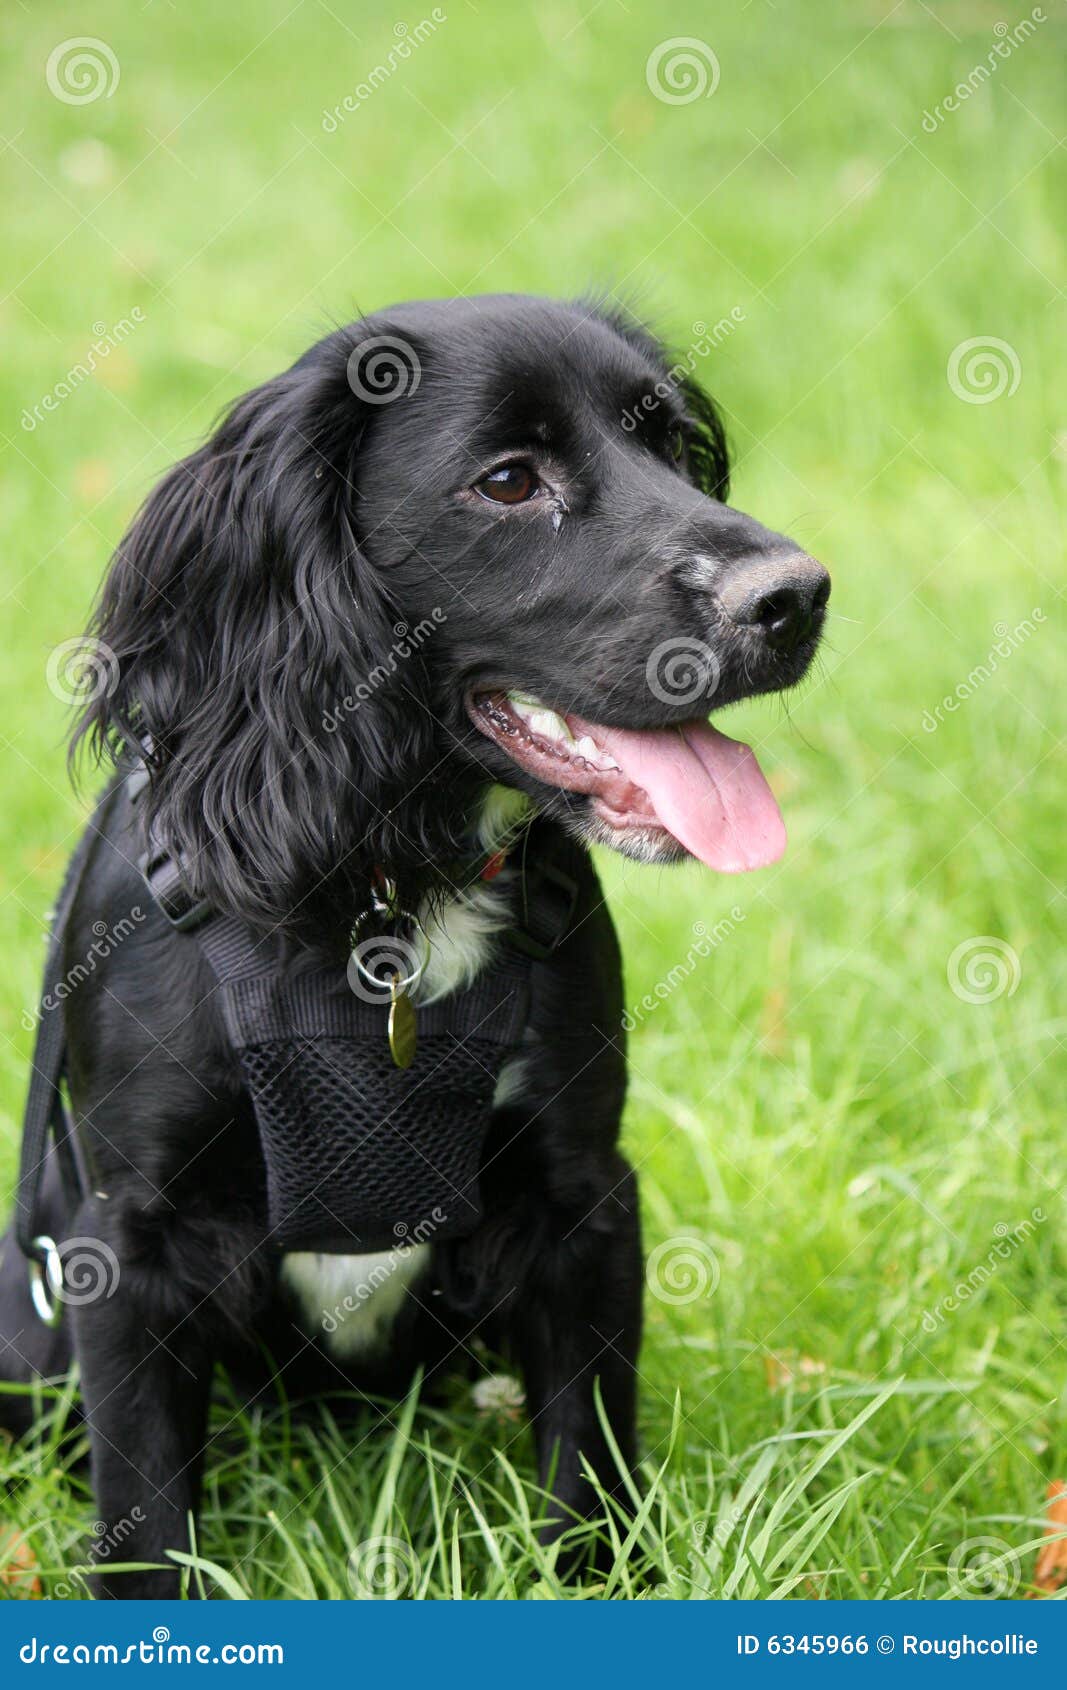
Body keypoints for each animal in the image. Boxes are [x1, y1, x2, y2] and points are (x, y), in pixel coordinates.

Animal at [0, 294, 831, 1595]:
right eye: (506, 481)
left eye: (666, 442)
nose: (795, 595)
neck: (389, 893)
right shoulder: (121, 1243)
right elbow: (143, 1510)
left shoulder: (582, 1197)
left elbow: (588, 1461)